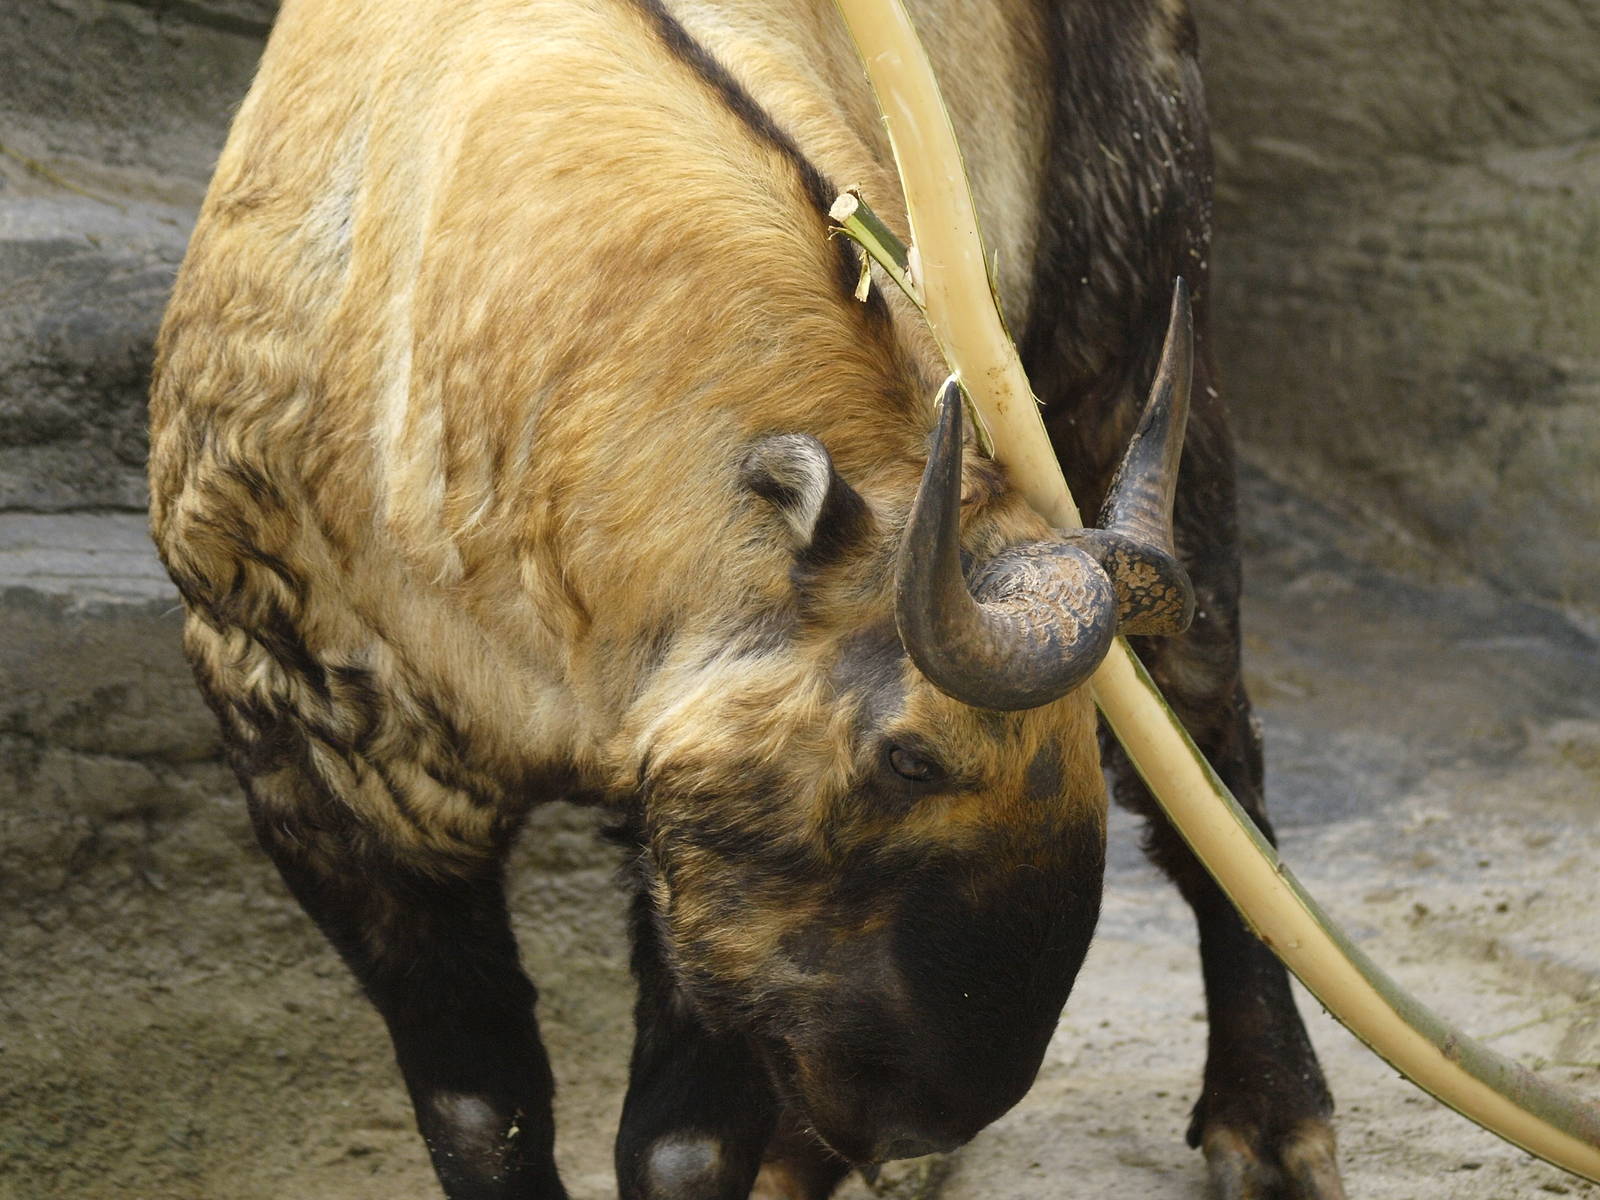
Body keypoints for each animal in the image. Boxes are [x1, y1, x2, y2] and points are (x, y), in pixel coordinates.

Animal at [147, 0, 1344, 1197]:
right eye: (908, 759)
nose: (929, 1117)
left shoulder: (701, 845)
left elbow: (682, 1149)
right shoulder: (316, 756)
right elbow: (482, 1116)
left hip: (1140, 338)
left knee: (1215, 762)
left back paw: (1271, 1121)